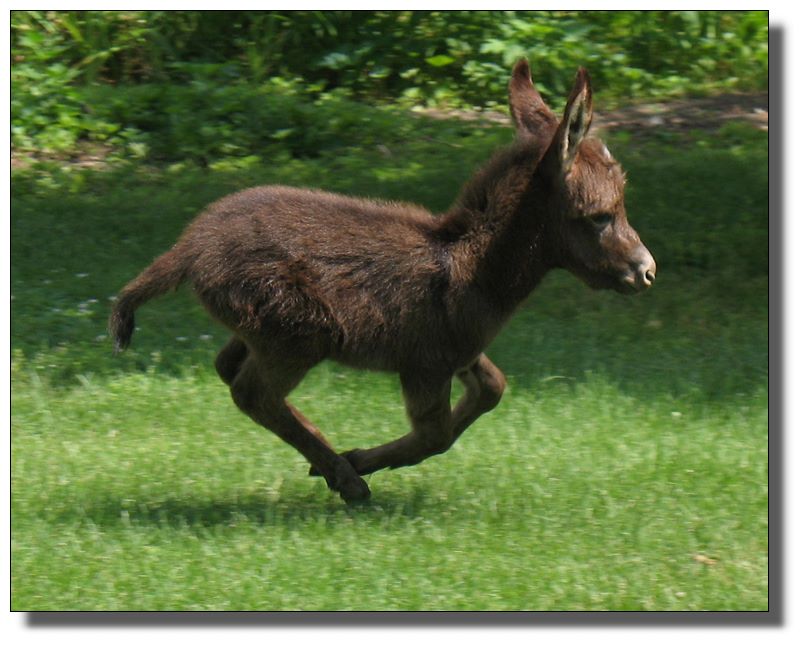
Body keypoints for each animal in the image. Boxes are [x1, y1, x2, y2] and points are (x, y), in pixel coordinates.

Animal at [109, 60, 656, 503]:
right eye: (600, 216)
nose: (646, 272)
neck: (474, 266)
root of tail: (190, 247)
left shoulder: (459, 350)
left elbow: (492, 389)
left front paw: (348, 460)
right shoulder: (425, 362)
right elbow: (436, 435)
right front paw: (356, 464)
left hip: (260, 328)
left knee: (230, 368)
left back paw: (327, 460)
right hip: (295, 332)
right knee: (252, 393)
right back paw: (345, 477)